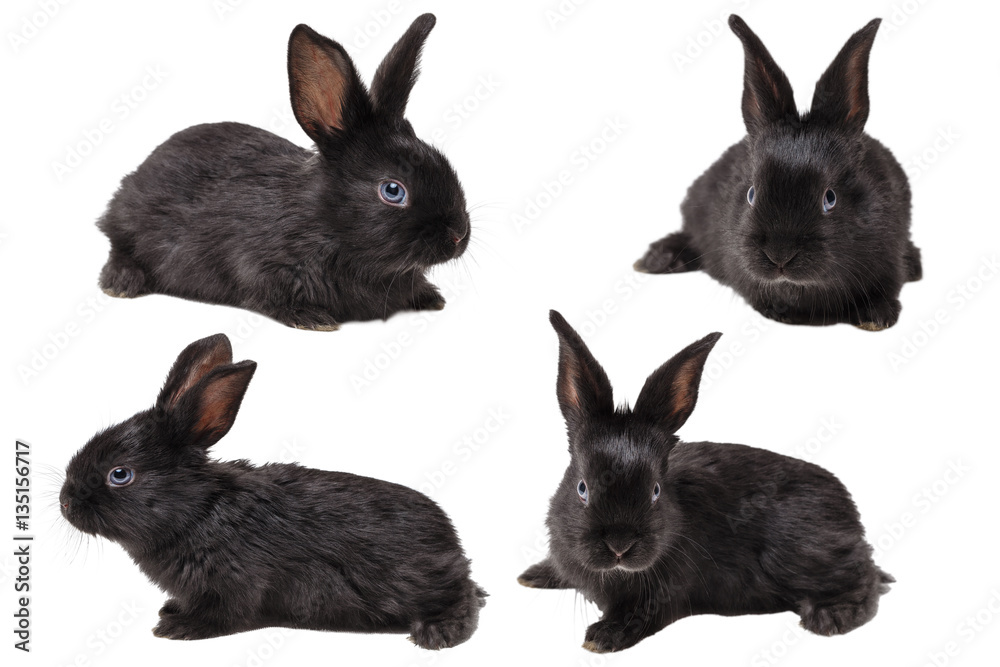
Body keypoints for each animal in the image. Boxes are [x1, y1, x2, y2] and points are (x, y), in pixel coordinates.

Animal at [59, 333, 486, 649]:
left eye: (120, 474)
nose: (65, 503)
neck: (199, 511)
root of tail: (453, 545)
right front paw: (171, 613)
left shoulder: (238, 582)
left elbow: (226, 614)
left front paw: (179, 629)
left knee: (461, 597)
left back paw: (438, 634)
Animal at [97, 14, 470, 330]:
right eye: (393, 190)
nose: (457, 237)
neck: (322, 223)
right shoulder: (258, 266)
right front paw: (312, 318)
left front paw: (431, 297)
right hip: (128, 225)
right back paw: (121, 283)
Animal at [518, 311, 892, 653]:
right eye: (582, 488)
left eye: (655, 490)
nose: (619, 546)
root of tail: (851, 516)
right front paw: (533, 575)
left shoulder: (663, 596)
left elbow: (640, 615)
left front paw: (601, 637)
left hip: (801, 555)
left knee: (865, 579)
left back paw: (831, 617)